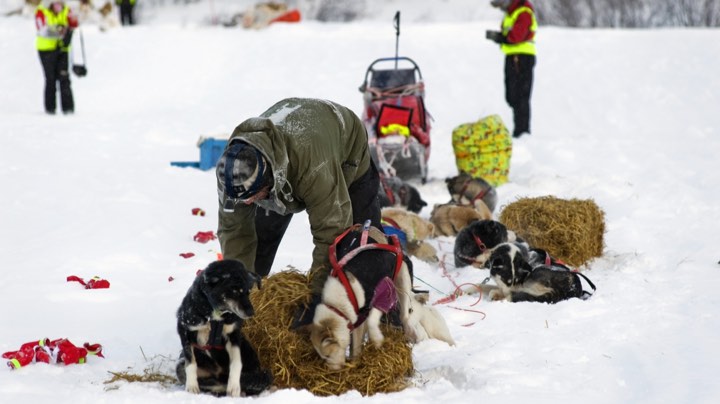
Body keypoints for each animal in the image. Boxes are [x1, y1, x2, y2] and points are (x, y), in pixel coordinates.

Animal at [176, 260, 272, 396]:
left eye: (248, 292)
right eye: (235, 291)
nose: (251, 313)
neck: (214, 316)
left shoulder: (234, 335)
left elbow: (236, 362)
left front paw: (234, 386)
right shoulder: (185, 330)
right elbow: (190, 363)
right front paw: (191, 386)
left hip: (256, 365)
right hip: (180, 366)